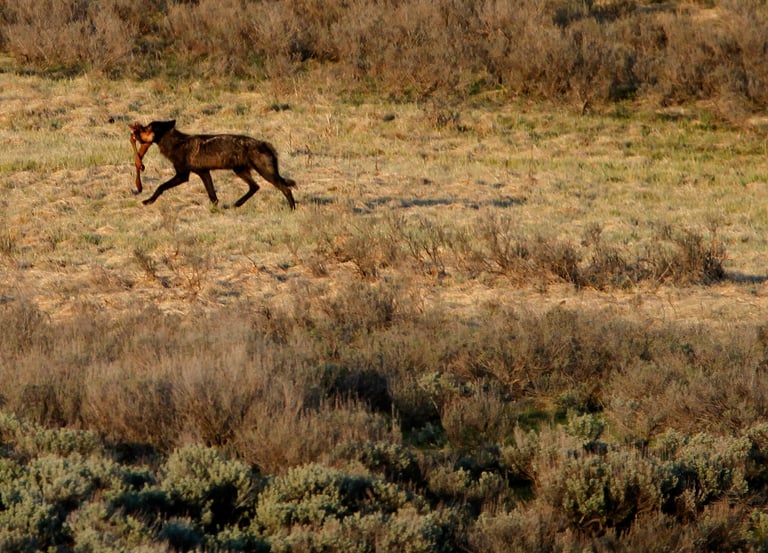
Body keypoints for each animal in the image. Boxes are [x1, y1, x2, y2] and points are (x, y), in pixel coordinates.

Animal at [129, 119, 296, 208]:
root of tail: (264, 143)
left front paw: (149, 201)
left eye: (147, 128)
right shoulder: (204, 173)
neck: (176, 143)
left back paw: (292, 209)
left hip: (265, 173)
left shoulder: (183, 176)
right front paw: (215, 209)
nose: (134, 131)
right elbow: (213, 196)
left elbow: (160, 187)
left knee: (286, 189)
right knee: (255, 187)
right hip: (240, 171)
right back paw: (237, 204)